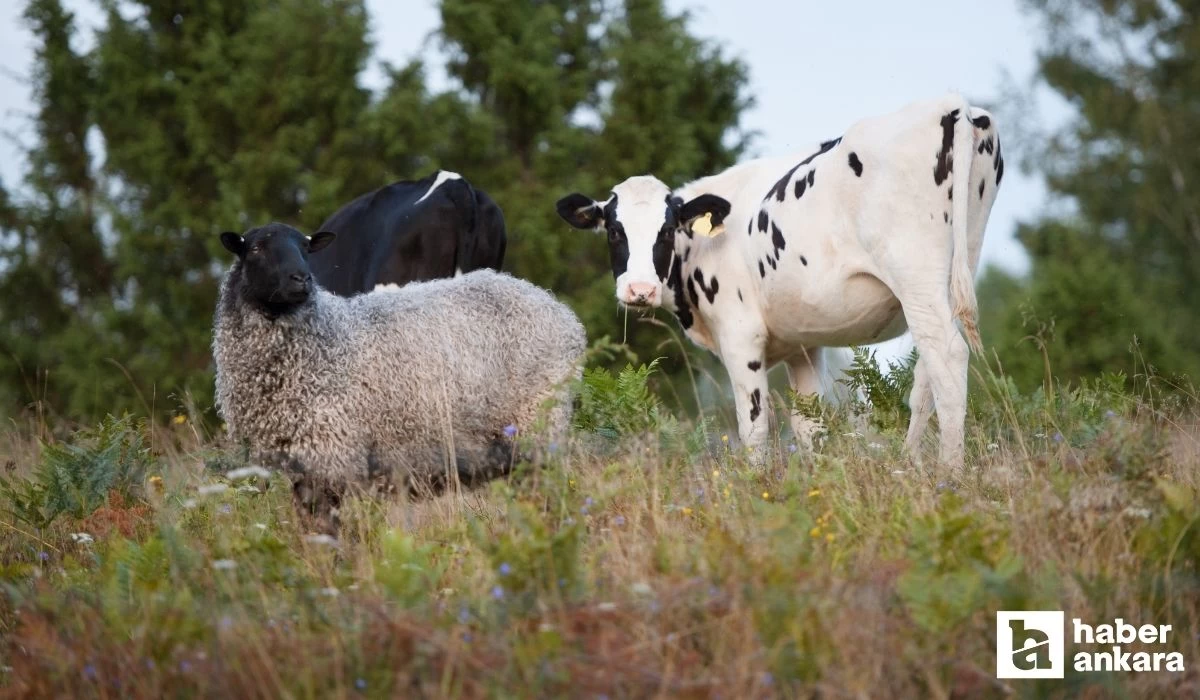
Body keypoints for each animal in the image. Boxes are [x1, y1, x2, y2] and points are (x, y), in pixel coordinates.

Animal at [216, 222, 590, 528]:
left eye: (306, 248)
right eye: (255, 248)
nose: (301, 279)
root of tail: (561, 312)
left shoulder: (331, 453)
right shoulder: (301, 466)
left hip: (538, 421)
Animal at [559, 91, 1003, 465]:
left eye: (667, 231)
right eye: (614, 231)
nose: (640, 290)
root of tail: (951, 104)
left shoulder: (741, 336)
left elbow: (753, 429)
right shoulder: (801, 346)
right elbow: (810, 428)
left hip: (915, 272)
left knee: (947, 356)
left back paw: (948, 473)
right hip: (959, 263)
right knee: (928, 371)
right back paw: (909, 465)